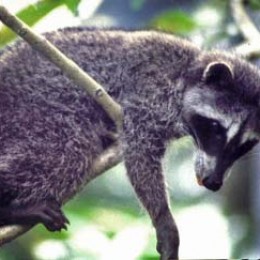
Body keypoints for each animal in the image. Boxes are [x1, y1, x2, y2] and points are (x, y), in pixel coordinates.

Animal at [0, 27, 258, 258]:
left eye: (245, 146)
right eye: (216, 129)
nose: (213, 182)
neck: (187, 70)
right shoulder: (147, 89)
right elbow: (139, 151)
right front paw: (163, 219)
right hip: (29, 109)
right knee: (64, 151)